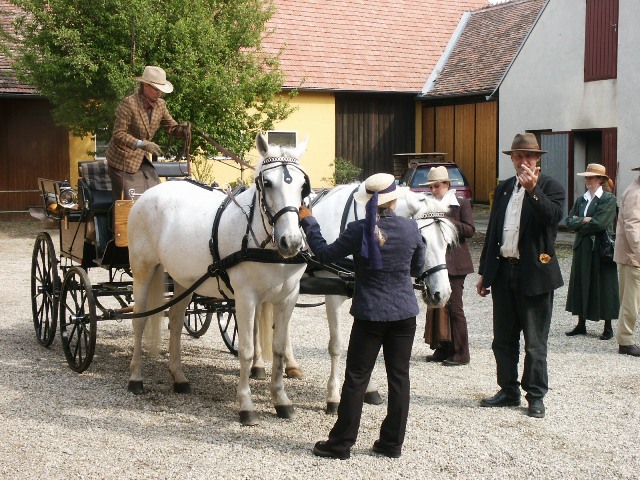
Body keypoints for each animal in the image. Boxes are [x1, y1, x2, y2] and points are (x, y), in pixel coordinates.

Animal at [127, 131, 310, 424]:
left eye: (303, 185)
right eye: (267, 183)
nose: (291, 241)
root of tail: (146, 195)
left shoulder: (288, 298)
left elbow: (279, 350)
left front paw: (281, 400)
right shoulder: (246, 298)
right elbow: (246, 350)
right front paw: (246, 405)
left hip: (183, 280)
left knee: (176, 322)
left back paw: (179, 377)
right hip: (143, 269)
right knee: (140, 321)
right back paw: (135, 378)